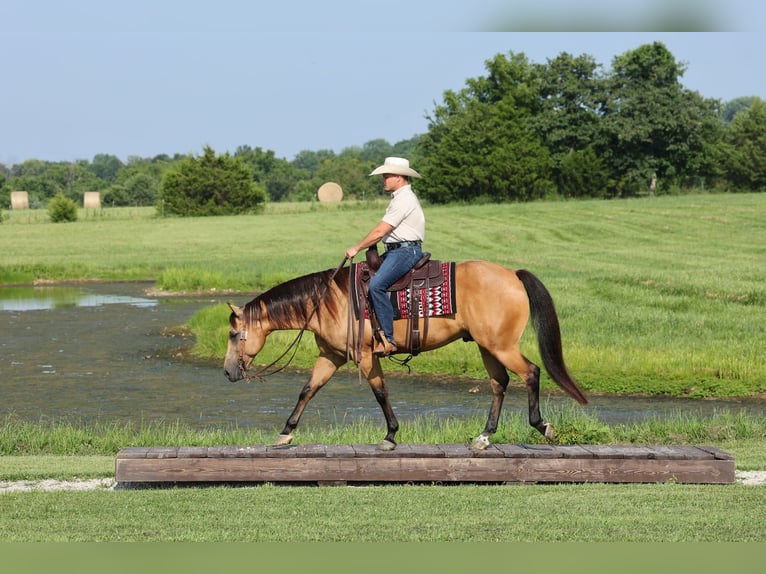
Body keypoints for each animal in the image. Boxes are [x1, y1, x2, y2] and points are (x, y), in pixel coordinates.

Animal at [223, 260, 587, 451]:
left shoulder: (365, 355)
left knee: (530, 373)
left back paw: (543, 427)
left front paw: (390, 435)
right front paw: (285, 433)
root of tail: (512, 274)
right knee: (499, 384)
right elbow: (307, 390)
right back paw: (483, 437)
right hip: (487, 346)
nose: (228, 372)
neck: (327, 301)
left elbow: (381, 393)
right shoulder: (331, 357)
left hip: (502, 346)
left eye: (232, 334)